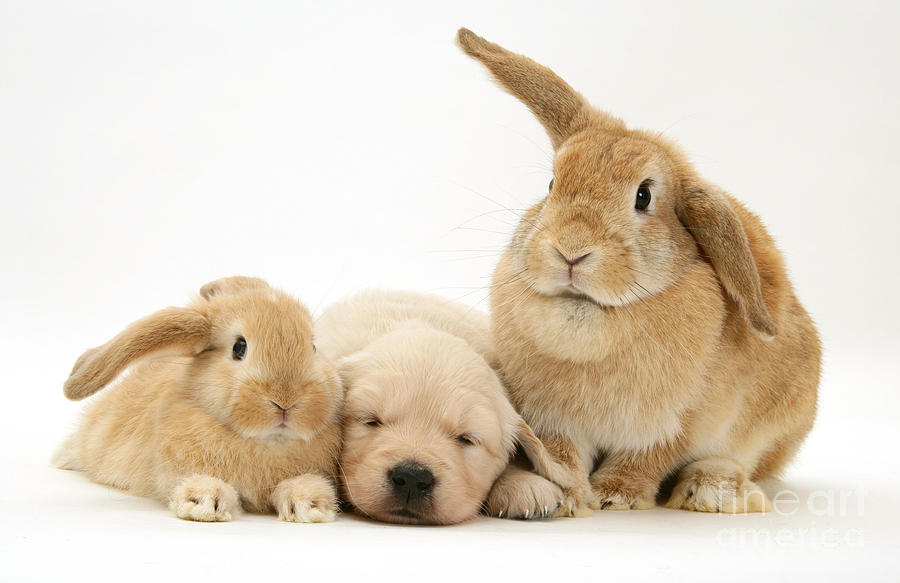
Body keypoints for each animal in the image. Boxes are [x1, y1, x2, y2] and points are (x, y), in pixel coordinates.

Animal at [53, 276, 342, 524]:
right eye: (239, 347)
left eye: (313, 347)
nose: (286, 400)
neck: (267, 443)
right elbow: (199, 482)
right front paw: (204, 503)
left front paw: (310, 504)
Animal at [458, 29, 824, 516]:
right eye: (552, 184)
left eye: (644, 196)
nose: (570, 251)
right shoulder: (552, 420)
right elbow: (561, 454)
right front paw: (569, 493)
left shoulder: (678, 423)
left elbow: (648, 457)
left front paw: (616, 495)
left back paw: (710, 489)